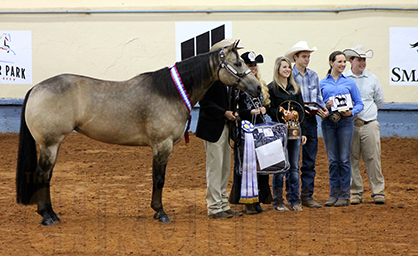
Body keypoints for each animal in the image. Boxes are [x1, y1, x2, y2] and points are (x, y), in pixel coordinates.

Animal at [17, 39, 262, 224]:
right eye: (238, 63)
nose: (258, 87)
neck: (171, 91)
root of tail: (36, 88)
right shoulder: (162, 145)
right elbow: (159, 178)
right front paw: (160, 212)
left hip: (54, 145)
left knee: (47, 176)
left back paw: (52, 214)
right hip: (50, 144)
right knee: (41, 175)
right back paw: (46, 216)